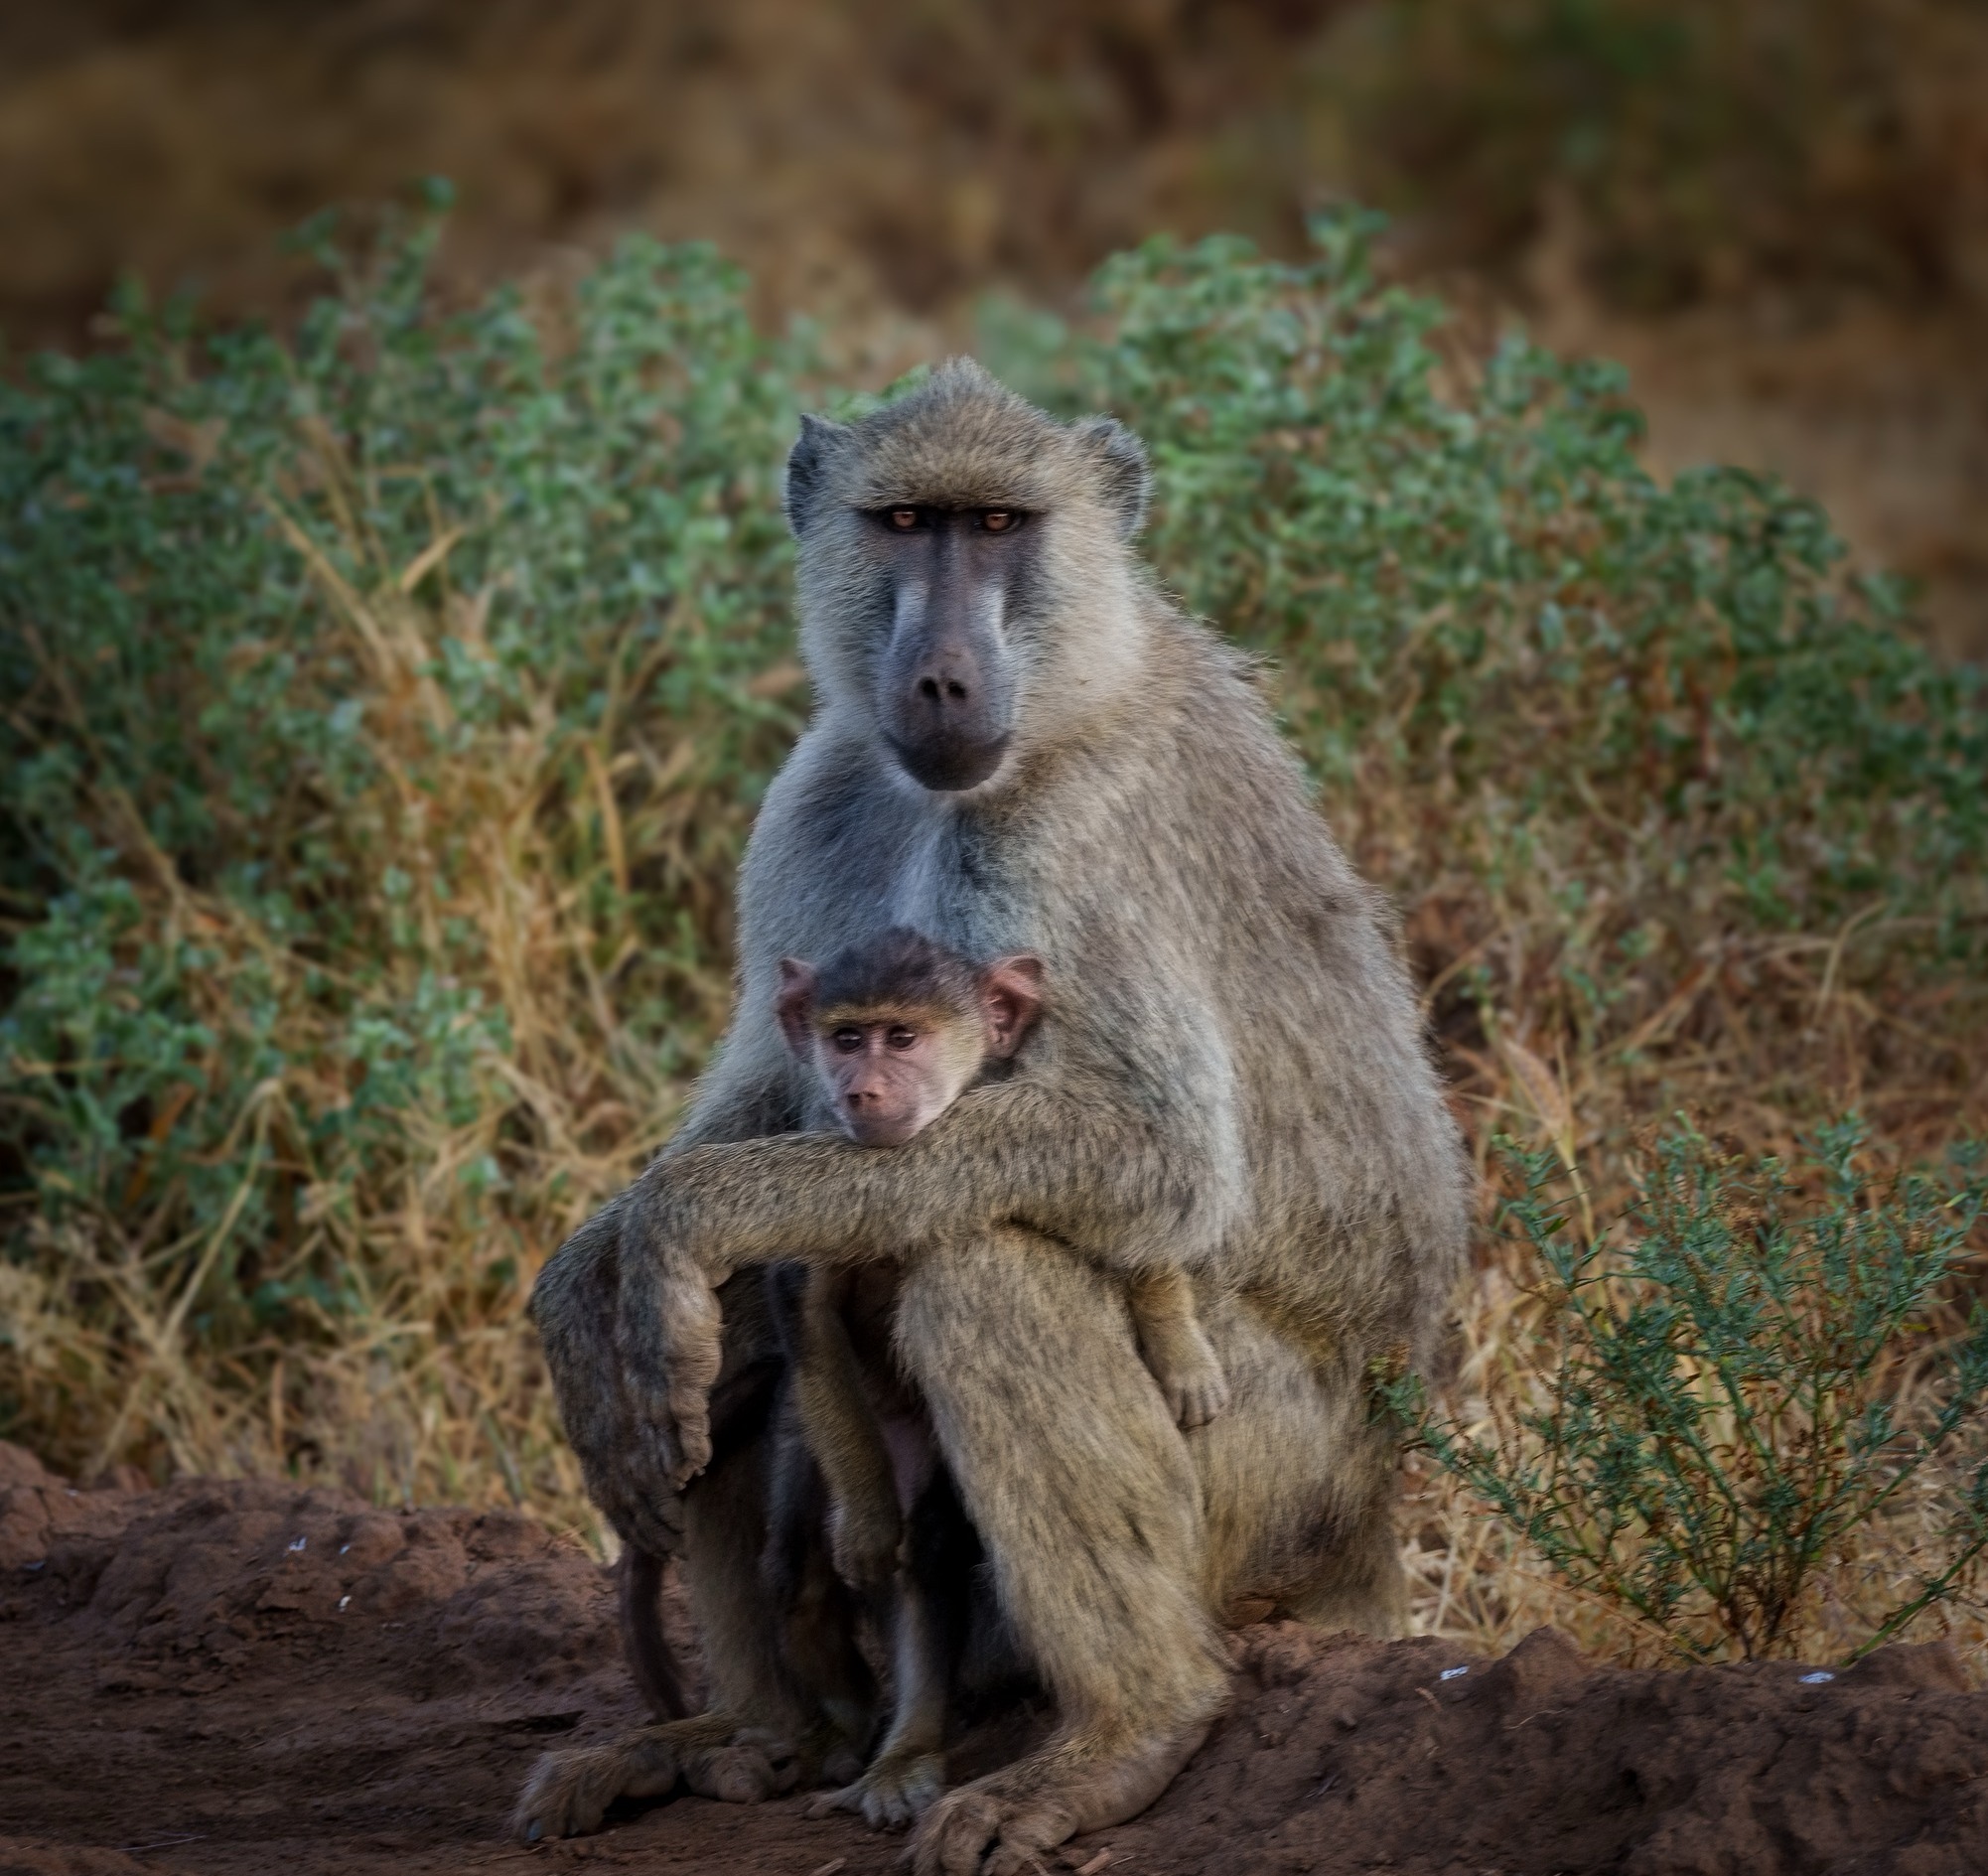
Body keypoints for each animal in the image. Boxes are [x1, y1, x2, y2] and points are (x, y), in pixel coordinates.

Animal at [517, 359, 1471, 1876]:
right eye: (907, 521)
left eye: (1000, 525)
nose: (943, 678)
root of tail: (1375, 1517)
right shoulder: (821, 793)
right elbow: (770, 1092)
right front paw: (581, 1287)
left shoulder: (1070, 841)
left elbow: (1157, 1155)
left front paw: (670, 1222)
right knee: (741, 1331)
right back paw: (751, 1733)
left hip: (1268, 1479)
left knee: (985, 1267)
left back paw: (1127, 1729)